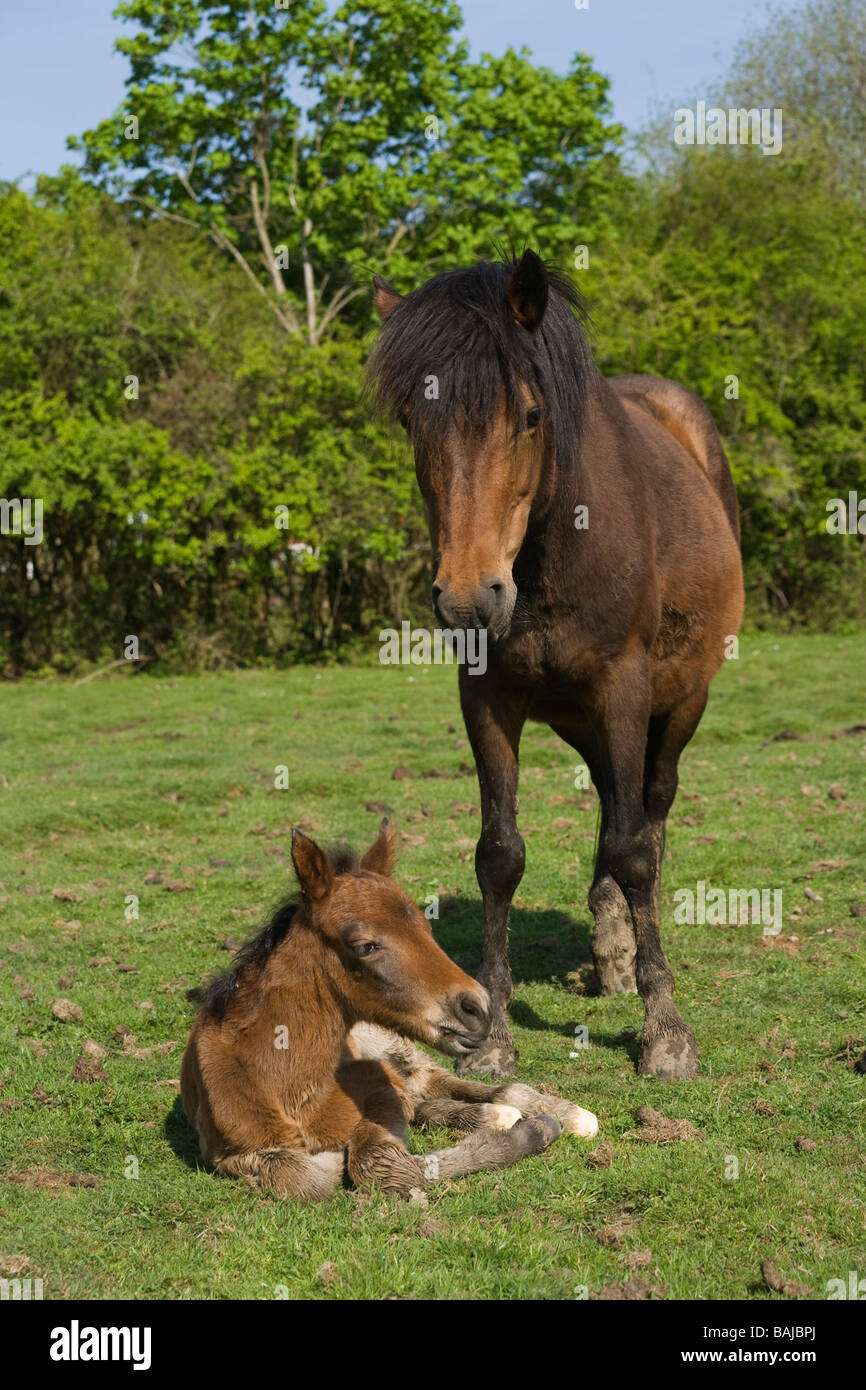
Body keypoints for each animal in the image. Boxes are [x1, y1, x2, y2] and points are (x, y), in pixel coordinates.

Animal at [179, 817, 592, 1200]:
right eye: (365, 946)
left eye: (426, 926)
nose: (478, 1007)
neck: (285, 1086)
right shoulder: (224, 1153)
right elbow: (306, 1179)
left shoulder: (381, 1092)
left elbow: (375, 1162)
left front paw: (537, 1129)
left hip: (392, 1045)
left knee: (449, 1084)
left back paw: (560, 1114)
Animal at [366, 250, 745, 1084]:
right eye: (412, 422)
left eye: (530, 417)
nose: (468, 598)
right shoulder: (487, 696)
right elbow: (500, 855)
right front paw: (496, 1033)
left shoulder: (626, 690)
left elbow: (636, 851)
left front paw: (665, 1031)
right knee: (611, 799)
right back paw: (610, 954)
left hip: (681, 701)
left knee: (649, 811)